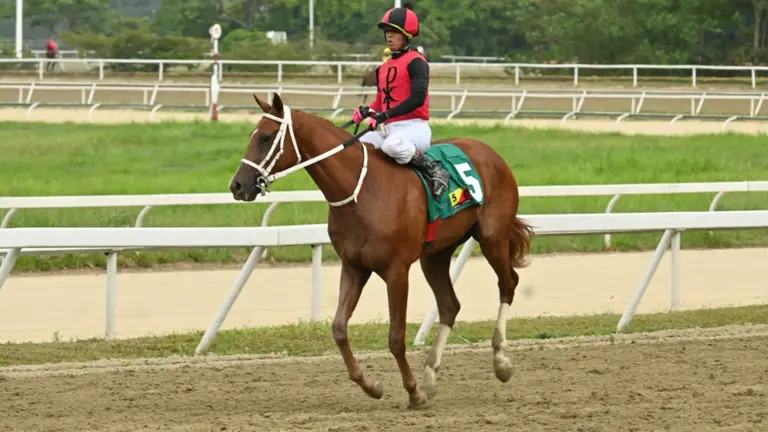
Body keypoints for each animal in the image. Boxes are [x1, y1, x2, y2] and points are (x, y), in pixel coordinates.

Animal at [229, 93, 534, 409]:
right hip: (435, 255)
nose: (237, 186)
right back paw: (430, 376)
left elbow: (396, 338)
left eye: (265, 138)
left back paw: (500, 362)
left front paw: (413, 392)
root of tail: (491, 153)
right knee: (450, 305)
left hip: (492, 237)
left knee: (508, 283)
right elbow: (339, 329)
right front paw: (372, 385)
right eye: (252, 135)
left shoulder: (397, 271)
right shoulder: (354, 266)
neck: (361, 192)